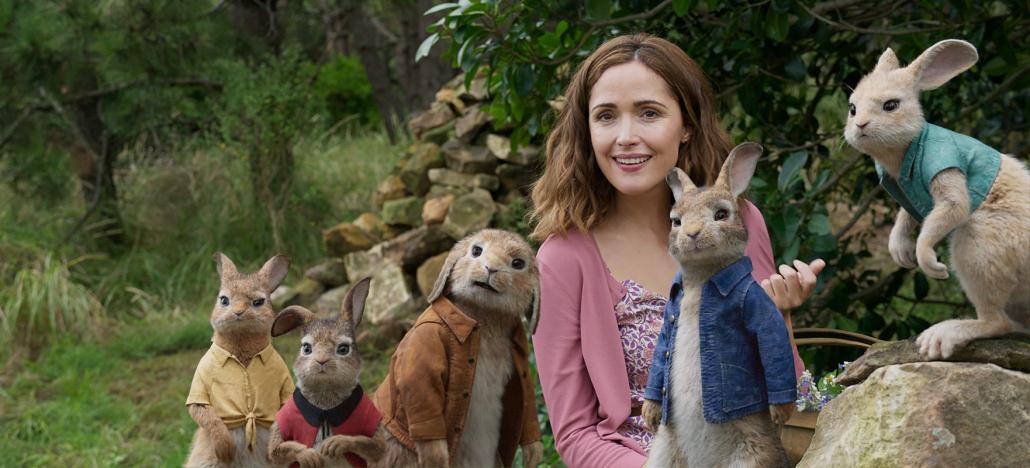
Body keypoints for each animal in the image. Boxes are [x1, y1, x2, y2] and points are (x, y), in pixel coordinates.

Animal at [186, 254, 294, 465]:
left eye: (259, 302)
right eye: (223, 300)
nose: (238, 312)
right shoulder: (200, 389)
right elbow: (207, 415)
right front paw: (226, 450)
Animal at [269, 278, 387, 468]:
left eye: (344, 348)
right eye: (306, 348)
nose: (321, 361)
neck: (324, 408)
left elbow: (374, 444)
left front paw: (333, 444)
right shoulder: (284, 421)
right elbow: (277, 449)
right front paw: (311, 457)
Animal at [372, 228, 547, 465]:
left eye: (518, 263)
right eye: (476, 250)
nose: (491, 268)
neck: (484, 317)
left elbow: (527, 402)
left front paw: (533, 454)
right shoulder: (422, 362)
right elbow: (425, 405)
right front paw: (437, 460)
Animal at [642, 143, 795, 468]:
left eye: (722, 213)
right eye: (676, 221)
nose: (692, 233)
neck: (704, 278)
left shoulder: (755, 305)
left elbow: (771, 340)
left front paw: (781, 412)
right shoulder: (669, 323)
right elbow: (661, 354)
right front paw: (649, 412)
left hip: (751, 457)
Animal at [844, 40, 1030, 360]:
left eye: (891, 105)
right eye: (852, 108)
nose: (860, 126)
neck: (905, 151)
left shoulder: (943, 166)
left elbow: (952, 208)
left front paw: (928, 263)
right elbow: (905, 218)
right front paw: (900, 253)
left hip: (979, 242)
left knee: (996, 322)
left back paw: (940, 337)